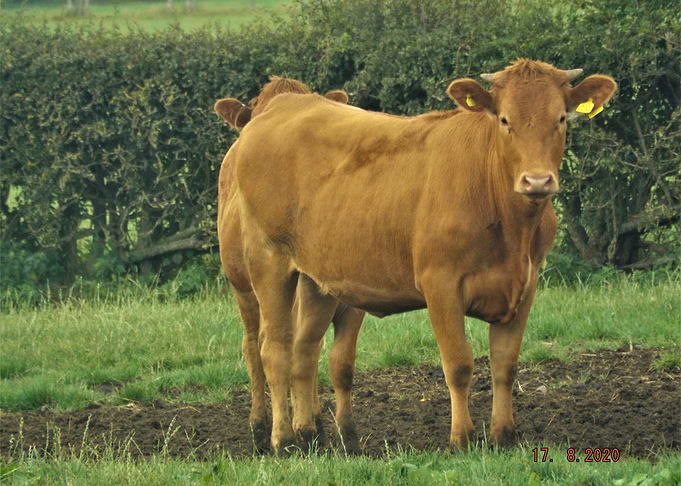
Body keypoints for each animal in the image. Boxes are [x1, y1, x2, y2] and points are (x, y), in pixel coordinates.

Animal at [215, 77, 365, 454]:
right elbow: (278, 353)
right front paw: (286, 433)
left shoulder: (351, 301)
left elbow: (338, 363)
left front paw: (343, 433)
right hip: (243, 289)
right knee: (254, 348)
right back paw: (261, 427)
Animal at [233, 60, 617, 453]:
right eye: (505, 120)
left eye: (561, 118)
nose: (537, 181)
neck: (511, 226)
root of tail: (279, 107)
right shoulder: (441, 282)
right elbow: (459, 364)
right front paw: (462, 438)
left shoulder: (526, 282)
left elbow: (505, 364)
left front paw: (503, 436)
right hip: (268, 263)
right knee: (273, 350)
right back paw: (282, 439)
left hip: (317, 279)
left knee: (304, 351)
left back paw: (312, 436)